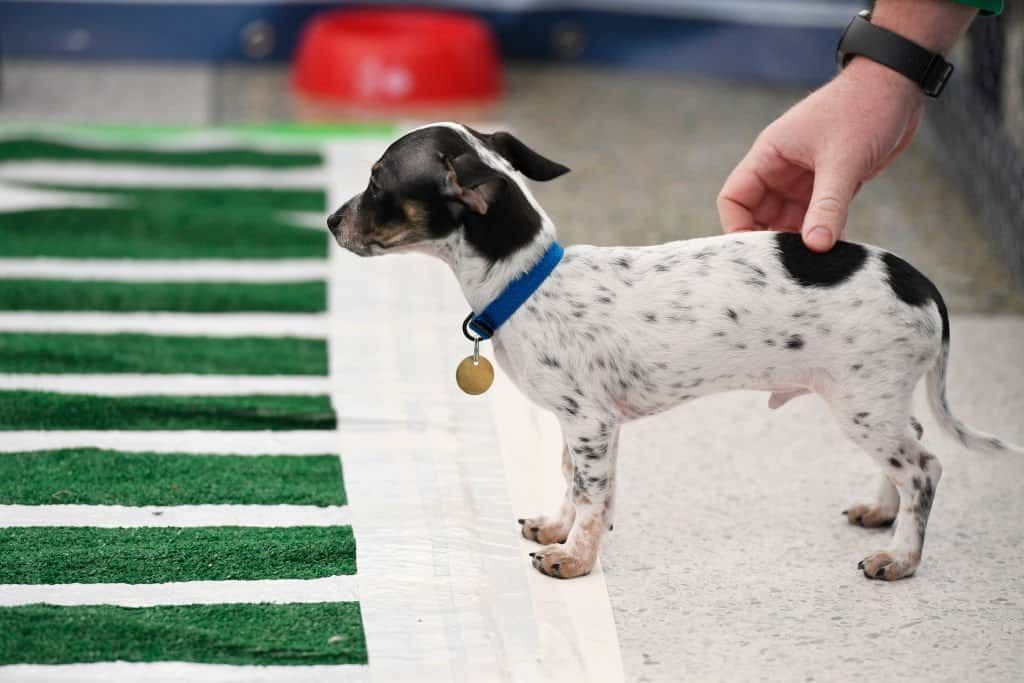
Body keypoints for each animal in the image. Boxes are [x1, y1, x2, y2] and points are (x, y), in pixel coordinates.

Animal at [329, 122, 1024, 581]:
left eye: (376, 180)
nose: (331, 222)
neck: (524, 281)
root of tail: (920, 281)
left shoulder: (590, 422)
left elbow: (591, 496)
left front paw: (574, 557)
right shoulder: (585, 426)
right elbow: (574, 482)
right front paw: (560, 528)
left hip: (862, 404)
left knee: (925, 469)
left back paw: (900, 556)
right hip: (874, 401)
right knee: (910, 453)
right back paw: (882, 511)